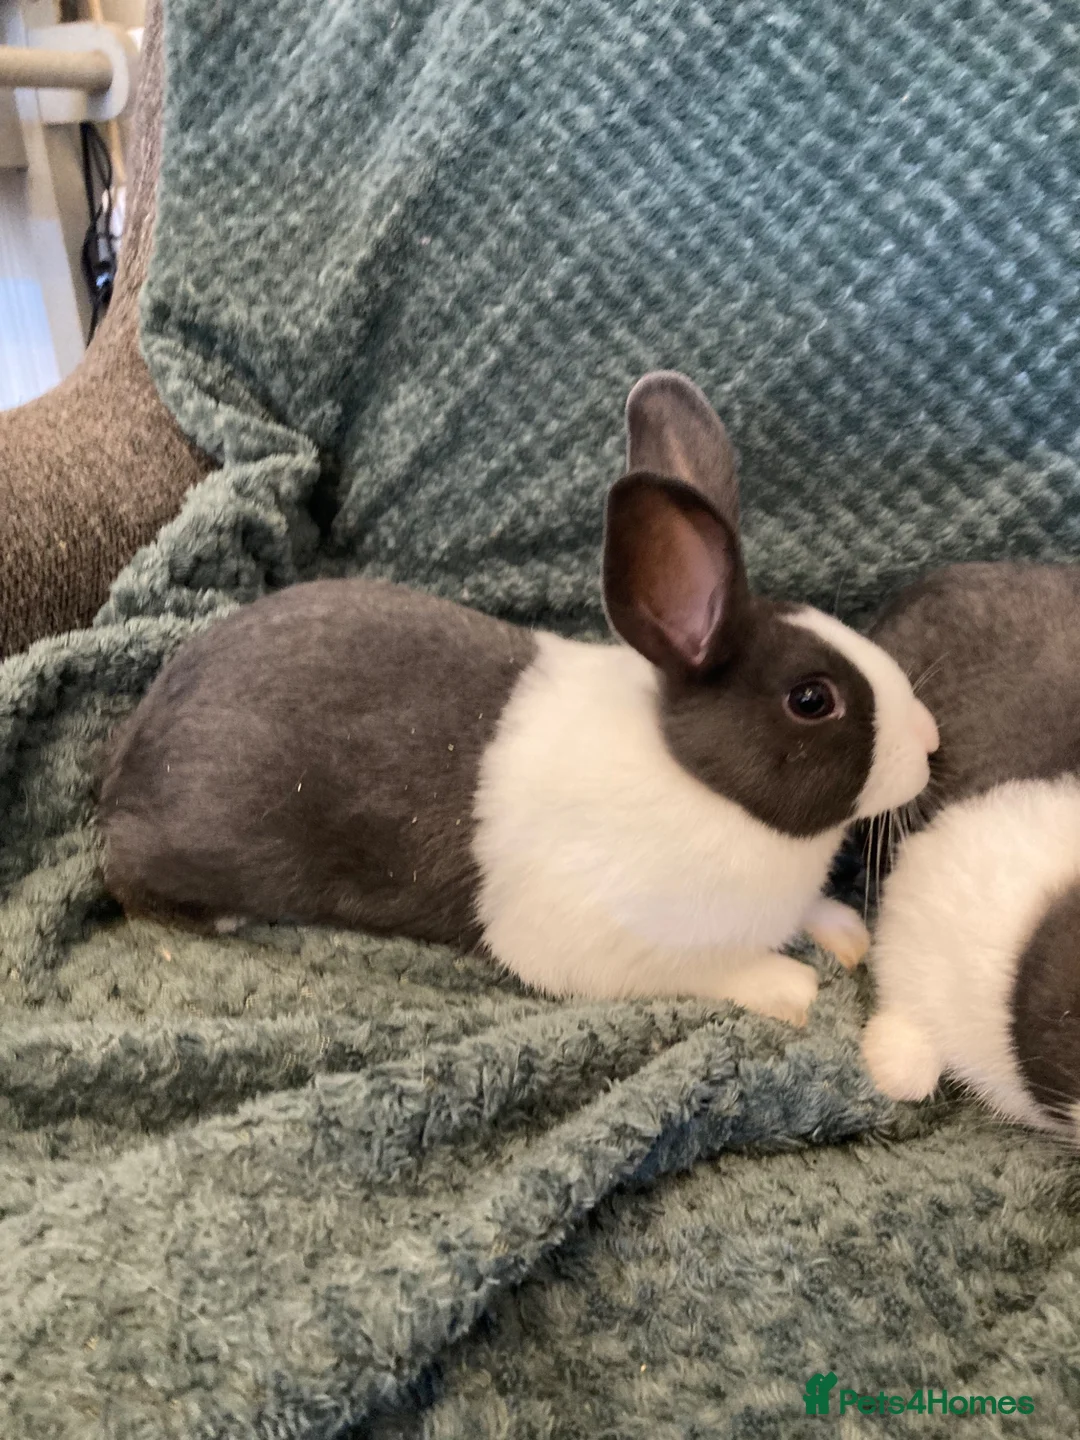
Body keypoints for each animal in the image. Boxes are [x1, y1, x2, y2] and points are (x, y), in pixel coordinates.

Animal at [99, 371, 938, 1025]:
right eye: (812, 699)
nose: (930, 743)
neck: (702, 784)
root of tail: (129, 758)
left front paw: (846, 933)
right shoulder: (595, 943)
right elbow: (709, 967)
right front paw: (790, 986)